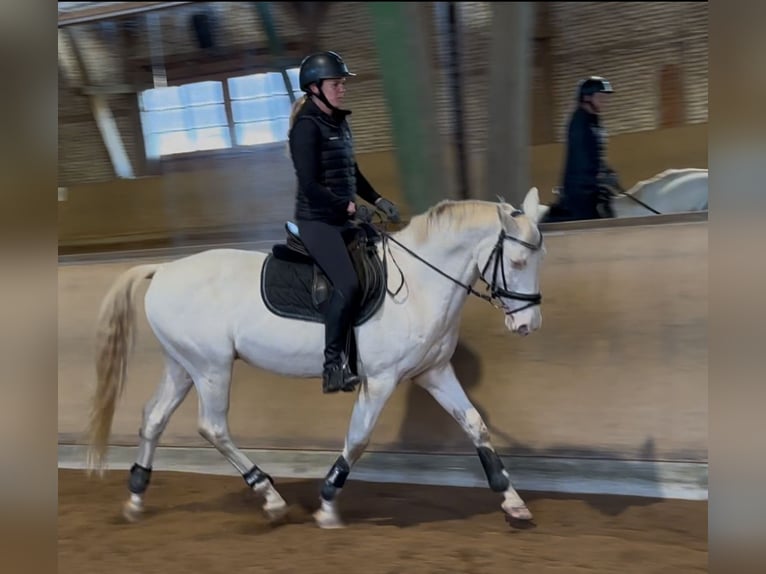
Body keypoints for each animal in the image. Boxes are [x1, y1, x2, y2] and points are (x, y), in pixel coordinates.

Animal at [84, 187, 547, 529]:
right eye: (518, 260)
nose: (528, 325)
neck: (418, 285)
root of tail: (163, 269)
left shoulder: (433, 372)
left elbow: (475, 425)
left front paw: (513, 501)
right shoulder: (380, 380)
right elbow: (358, 438)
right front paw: (327, 504)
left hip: (183, 366)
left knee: (153, 418)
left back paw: (136, 498)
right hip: (210, 367)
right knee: (212, 426)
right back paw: (269, 496)